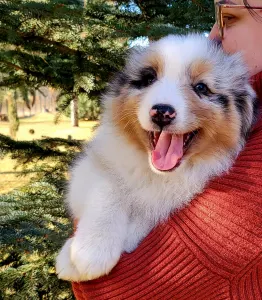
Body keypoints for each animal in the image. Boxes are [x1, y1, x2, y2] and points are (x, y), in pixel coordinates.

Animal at [55, 34, 258, 282]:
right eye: (149, 78)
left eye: (201, 87)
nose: (162, 111)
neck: (157, 174)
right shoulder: (94, 162)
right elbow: (108, 188)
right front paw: (88, 250)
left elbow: (149, 214)